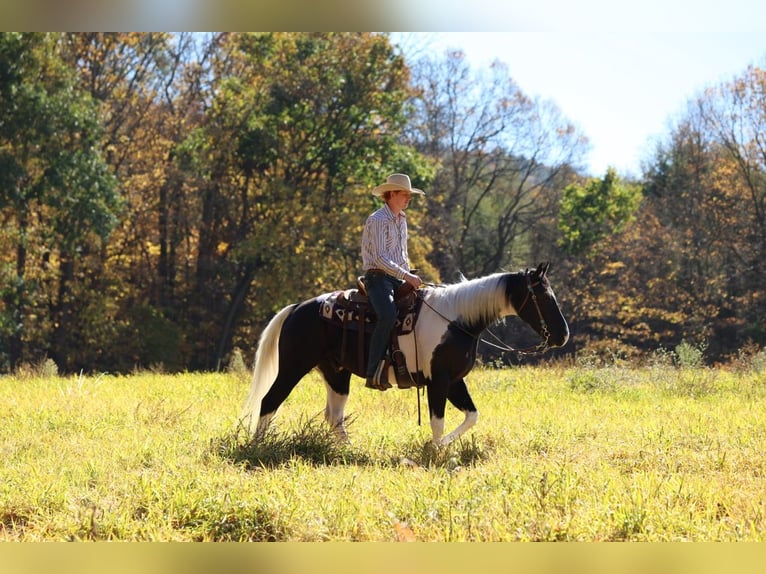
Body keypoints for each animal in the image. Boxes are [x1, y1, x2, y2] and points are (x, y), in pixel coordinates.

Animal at [241, 262, 569, 447]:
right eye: (543, 296)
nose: (563, 335)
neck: (457, 319)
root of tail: (297, 308)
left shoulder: (455, 381)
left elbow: (472, 416)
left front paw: (440, 447)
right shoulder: (439, 381)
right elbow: (438, 421)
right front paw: (436, 452)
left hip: (337, 374)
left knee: (334, 416)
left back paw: (348, 451)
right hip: (293, 367)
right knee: (269, 401)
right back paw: (259, 447)